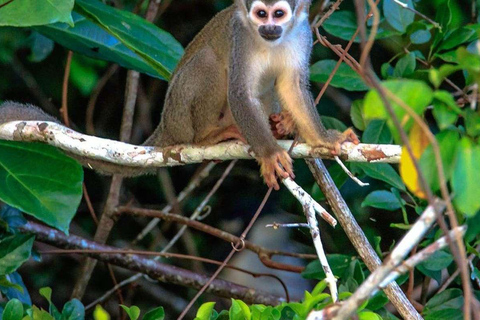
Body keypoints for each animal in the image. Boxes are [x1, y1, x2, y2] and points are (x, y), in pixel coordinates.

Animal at [0, 0, 358, 189]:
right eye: (261, 13)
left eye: (278, 14)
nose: (268, 28)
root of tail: (165, 126)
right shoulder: (240, 36)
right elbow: (239, 92)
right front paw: (269, 153)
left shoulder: (302, 33)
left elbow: (292, 87)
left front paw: (324, 139)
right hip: (179, 113)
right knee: (211, 63)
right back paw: (208, 136)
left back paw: (279, 124)